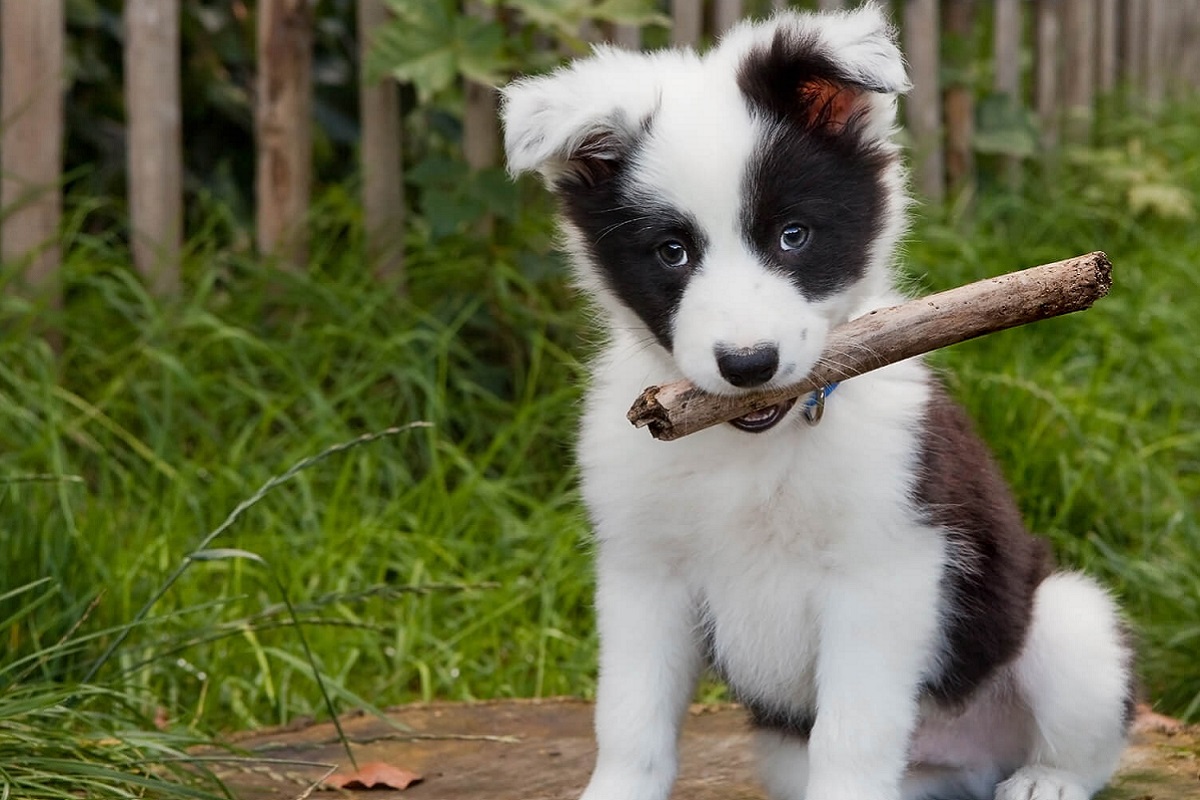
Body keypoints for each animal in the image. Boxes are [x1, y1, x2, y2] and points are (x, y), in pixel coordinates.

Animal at [499, 6, 1132, 800]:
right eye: (672, 252)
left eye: (792, 235)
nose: (748, 365)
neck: (753, 449)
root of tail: (968, 763)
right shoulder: (643, 572)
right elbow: (629, 719)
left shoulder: (884, 566)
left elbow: (850, 735)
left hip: (1068, 621)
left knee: (1088, 735)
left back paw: (1045, 779)